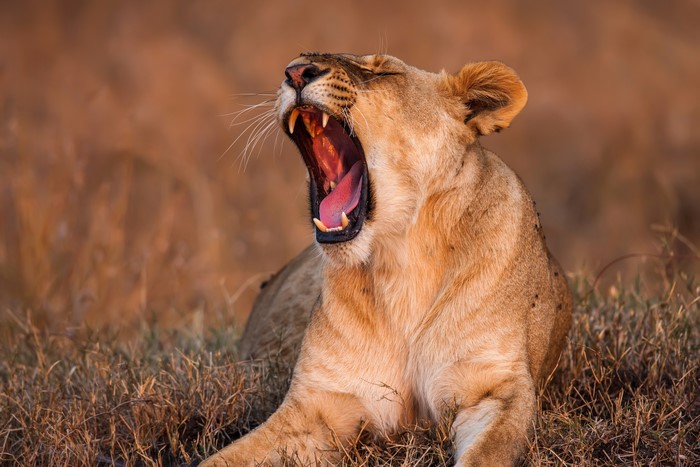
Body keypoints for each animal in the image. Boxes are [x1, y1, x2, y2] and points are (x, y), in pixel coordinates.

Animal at [203, 53, 573, 466]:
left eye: (383, 71)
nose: (295, 71)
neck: (402, 259)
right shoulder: (318, 405)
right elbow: (222, 459)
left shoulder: (495, 387)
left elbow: (486, 455)